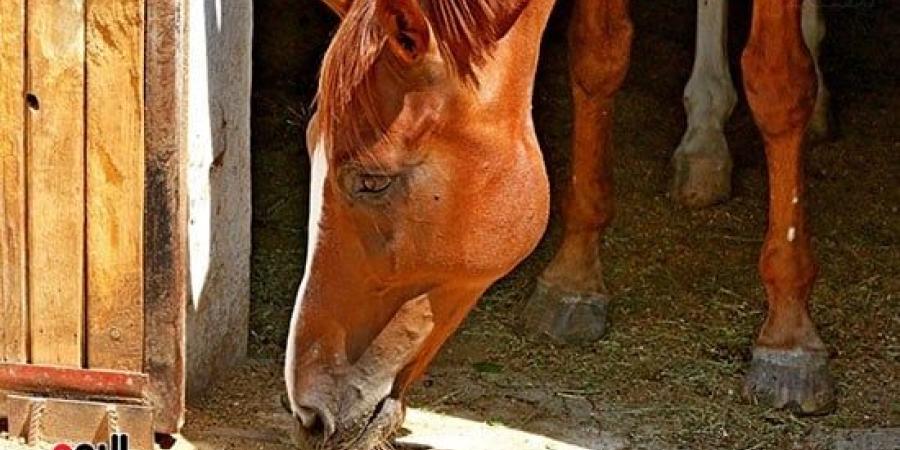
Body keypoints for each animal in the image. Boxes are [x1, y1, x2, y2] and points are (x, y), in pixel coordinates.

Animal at [284, 0, 832, 448]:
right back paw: (704, 143)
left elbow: (778, 84)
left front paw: (788, 339)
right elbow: (598, 56)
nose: (308, 413)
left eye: (372, 182)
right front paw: (573, 280)